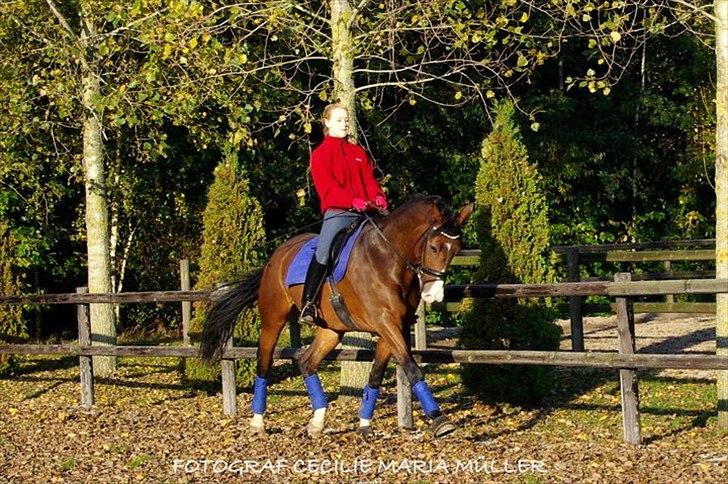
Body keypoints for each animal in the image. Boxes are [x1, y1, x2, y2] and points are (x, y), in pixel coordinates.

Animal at [200, 196, 472, 438]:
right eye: (434, 247)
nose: (433, 295)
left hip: (331, 330)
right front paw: (440, 420)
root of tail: (277, 255)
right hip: (273, 321)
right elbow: (412, 369)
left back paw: (316, 423)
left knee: (307, 361)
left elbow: (376, 375)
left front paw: (365, 425)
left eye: (456, 250)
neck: (387, 257)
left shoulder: (393, 327)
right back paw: (257, 422)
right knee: (264, 363)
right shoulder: (386, 323)